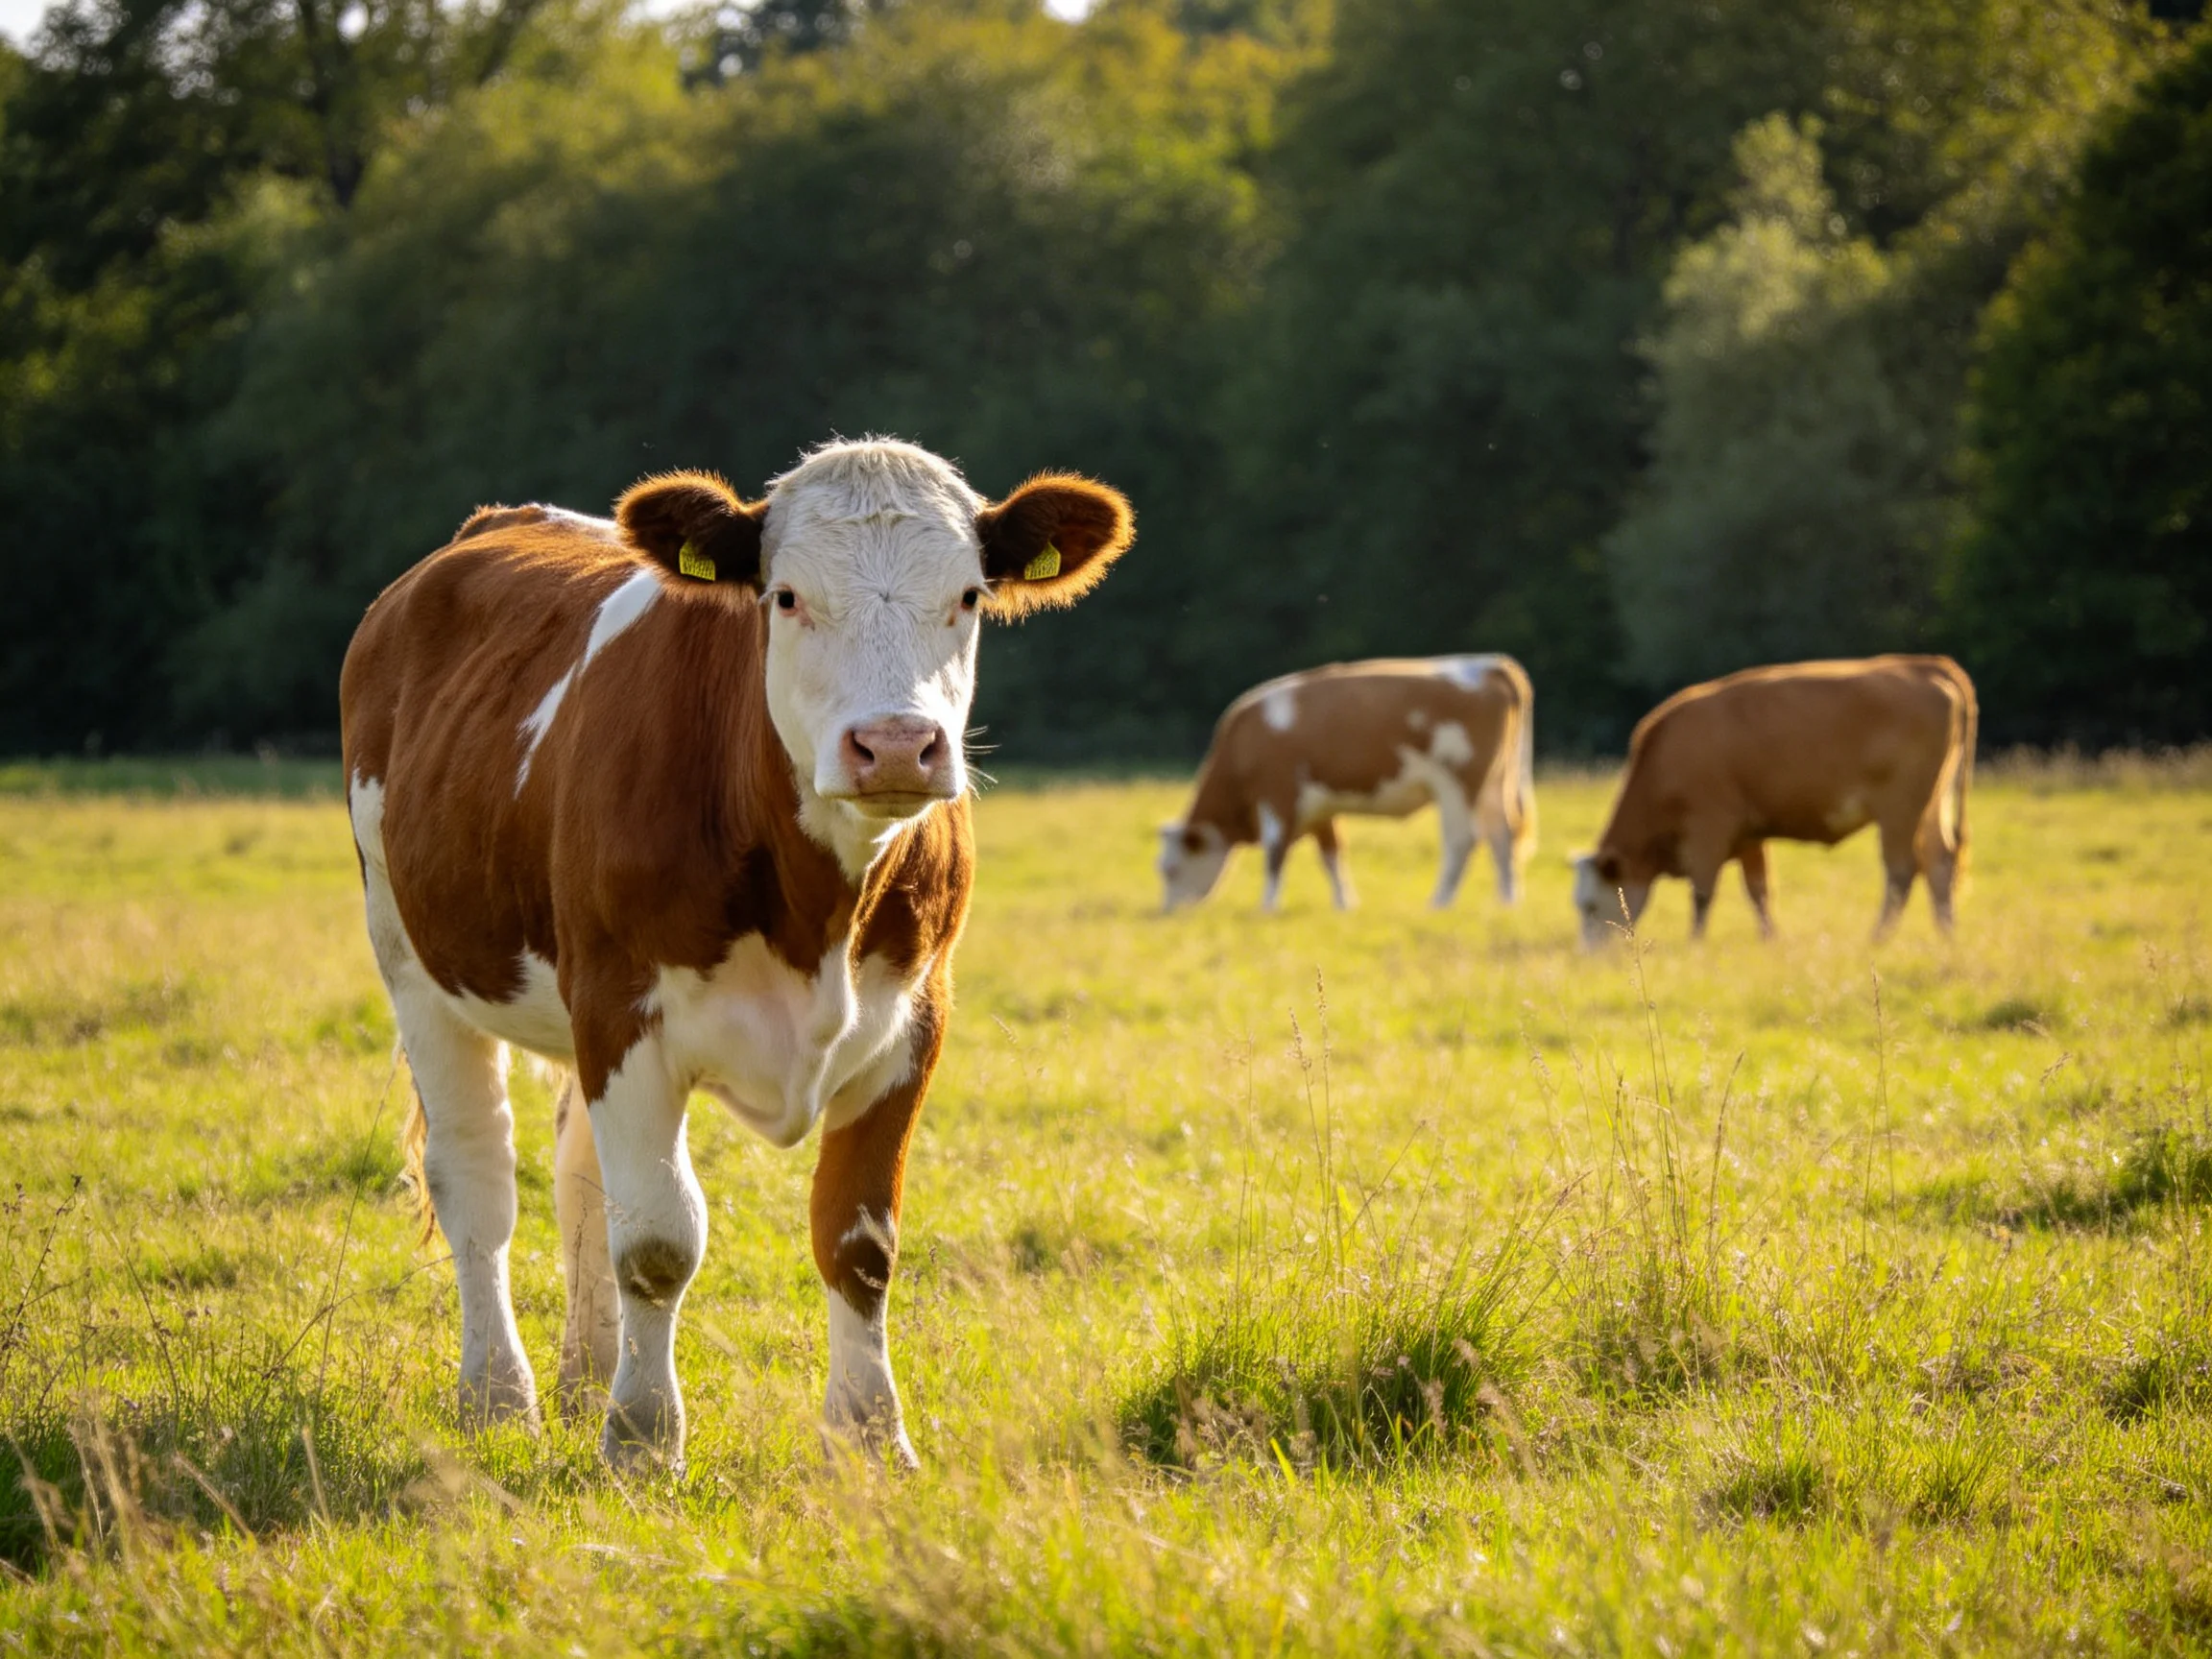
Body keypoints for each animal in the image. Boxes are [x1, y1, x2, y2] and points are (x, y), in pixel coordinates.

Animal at [340, 438, 1133, 1472]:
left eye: (966, 595)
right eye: (786, 596)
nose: (895, 746)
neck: (817, 910)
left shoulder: (913, 1019)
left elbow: (858, 1239)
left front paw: (869, 1439)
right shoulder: (624, 1010)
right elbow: (659, 1243)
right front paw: (644, 1441)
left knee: (579, 1177)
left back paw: (585, 1379)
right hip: (413, 958)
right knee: (476, 1174)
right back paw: (499, 1396)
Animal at [1156, 656, 1536, 913]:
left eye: (1171, 870)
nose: (1168, 912)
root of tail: (1488, 665)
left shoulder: (1279, 795)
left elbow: (1275, 854)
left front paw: (1268, 906)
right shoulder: (1319, 807)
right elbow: (1332, 854)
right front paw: (1344, 903)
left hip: (1457, 782)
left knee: (1463, 839)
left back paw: (1440, 901)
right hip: (1494, 784)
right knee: (1503, 836)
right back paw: (1507, 900)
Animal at [1571, 655, 1976, 946]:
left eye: (1591, 907)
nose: (1590, 957)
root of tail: (1924, 664)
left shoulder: (1709, 830)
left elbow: (1702, 894)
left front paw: (1695, 944)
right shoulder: (1749, 835)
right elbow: (1760, 892)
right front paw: (1770, 940)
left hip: (1900, 809)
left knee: (1902, 870)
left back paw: (1878, 938)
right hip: (1931, 806)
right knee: (1940, 862)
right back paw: (1946, 934)